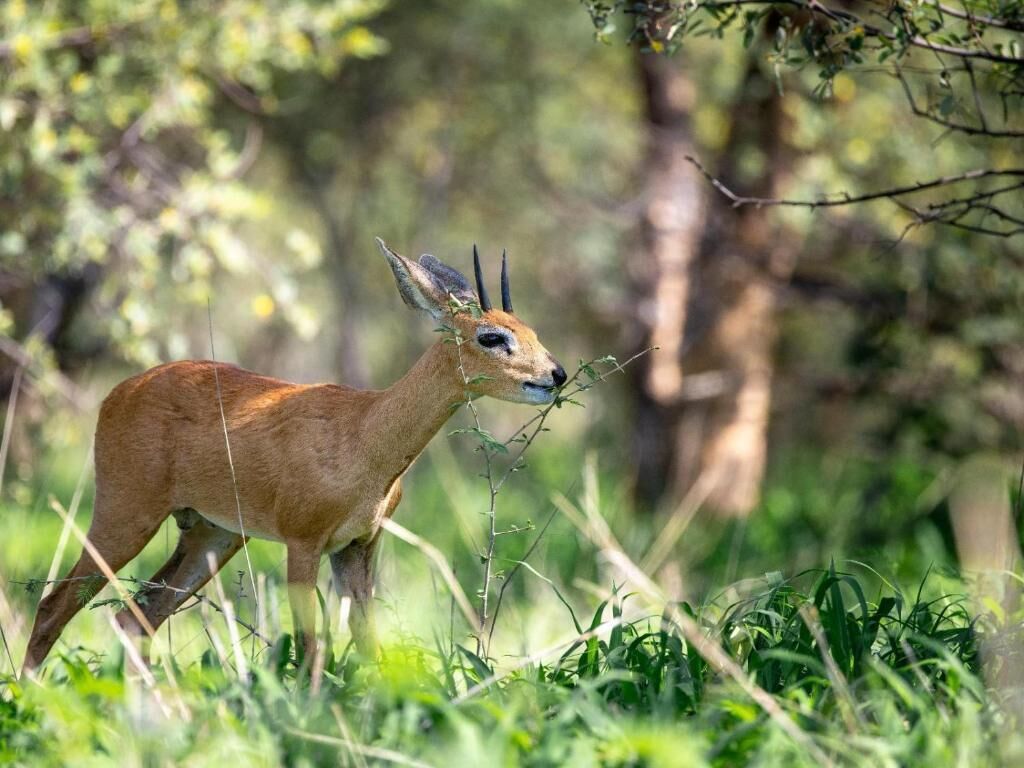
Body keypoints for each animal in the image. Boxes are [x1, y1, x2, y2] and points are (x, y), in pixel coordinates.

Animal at [22, 238, 567, 674]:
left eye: (532, 330)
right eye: (492, 336)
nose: (555, 375)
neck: (366, 433)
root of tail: (120, 392)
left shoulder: (358, 548)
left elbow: (367, 645)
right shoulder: (303, 545)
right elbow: (311, 648)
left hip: (210, 537)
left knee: (133, 621)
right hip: (126, 519)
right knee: (54, 607)